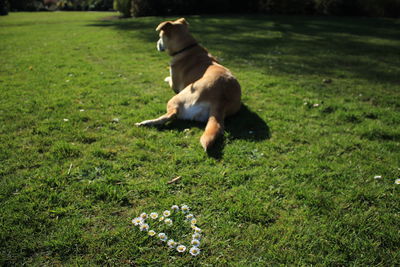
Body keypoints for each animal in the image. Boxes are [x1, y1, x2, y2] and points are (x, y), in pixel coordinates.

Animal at [135, 17, 241, 152]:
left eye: (160, 36)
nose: (156, 44)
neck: (187, 47)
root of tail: (220, 99)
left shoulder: (175, 84)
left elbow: (170, 79)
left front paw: (166, 78)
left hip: (177, 97)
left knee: (172, 114)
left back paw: (146, 123)